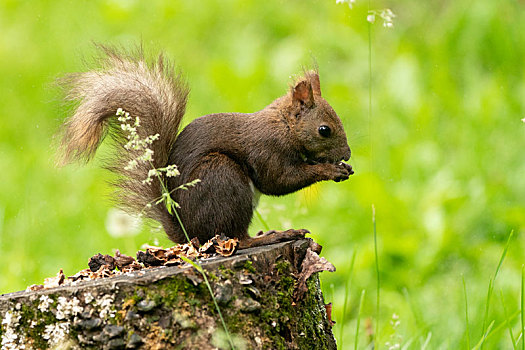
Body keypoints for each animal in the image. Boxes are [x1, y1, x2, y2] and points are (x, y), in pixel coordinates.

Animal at [59, 45, 354, 249]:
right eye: (324, 130)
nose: (347, 154)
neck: (284, 125)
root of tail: (187, 232)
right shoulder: (267, 148)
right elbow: (278, 181)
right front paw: (331, 170)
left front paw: (340, 167)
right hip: (223, 178)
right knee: (237, 239)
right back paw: (273, 236)